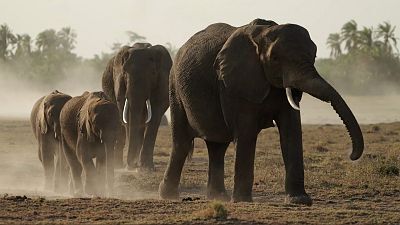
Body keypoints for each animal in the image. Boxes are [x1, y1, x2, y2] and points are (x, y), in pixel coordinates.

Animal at [101, 41, 172, 171]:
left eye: (153, 74)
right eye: (124, 73)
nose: (131, 165)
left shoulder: (163, 83)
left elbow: (155, 115)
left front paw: (146, 168)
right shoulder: (118, 81)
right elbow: (126, 115)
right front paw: (132, 166)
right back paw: (119, 165)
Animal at [158, 18, 364, 206]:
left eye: (313, 56)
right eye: (275, 59)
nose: (351, 155)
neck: (263, 34)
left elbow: (291, 130)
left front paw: (299, 201)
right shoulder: (234, 83)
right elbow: (247, 131)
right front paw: (242, 201)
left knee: (217, 146)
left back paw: (218, 198)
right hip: (174, 87)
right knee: (182, 143)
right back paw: (169, 196)